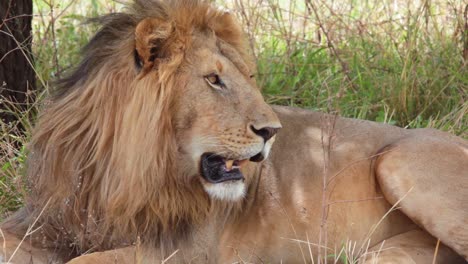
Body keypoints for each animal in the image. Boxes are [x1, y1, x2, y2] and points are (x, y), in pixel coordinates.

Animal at [0, 0, 468, 264]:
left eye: (247, 77)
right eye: (214, 79)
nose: (272, 130)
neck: (121, 170)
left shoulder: (184, 250)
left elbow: (82, 262)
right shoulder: (47, 219)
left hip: (400, 162)